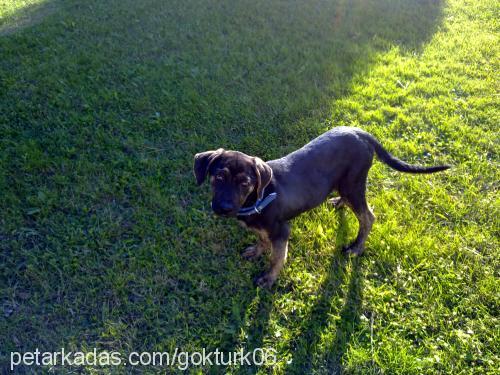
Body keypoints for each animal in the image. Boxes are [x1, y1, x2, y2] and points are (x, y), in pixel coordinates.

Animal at [193, 126, 452, 288]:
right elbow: (261, 239)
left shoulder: (282, 231)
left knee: (368, 217)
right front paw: (256, 251)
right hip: (346, 183)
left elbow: (277, 258)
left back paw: (356, 248)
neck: (258, 197)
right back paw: (338, 203)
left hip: (353, 183)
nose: (223, 207)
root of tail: (361, 133)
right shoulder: (264, 229)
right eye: (218, 177)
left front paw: (268, 279)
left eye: (245, 183)